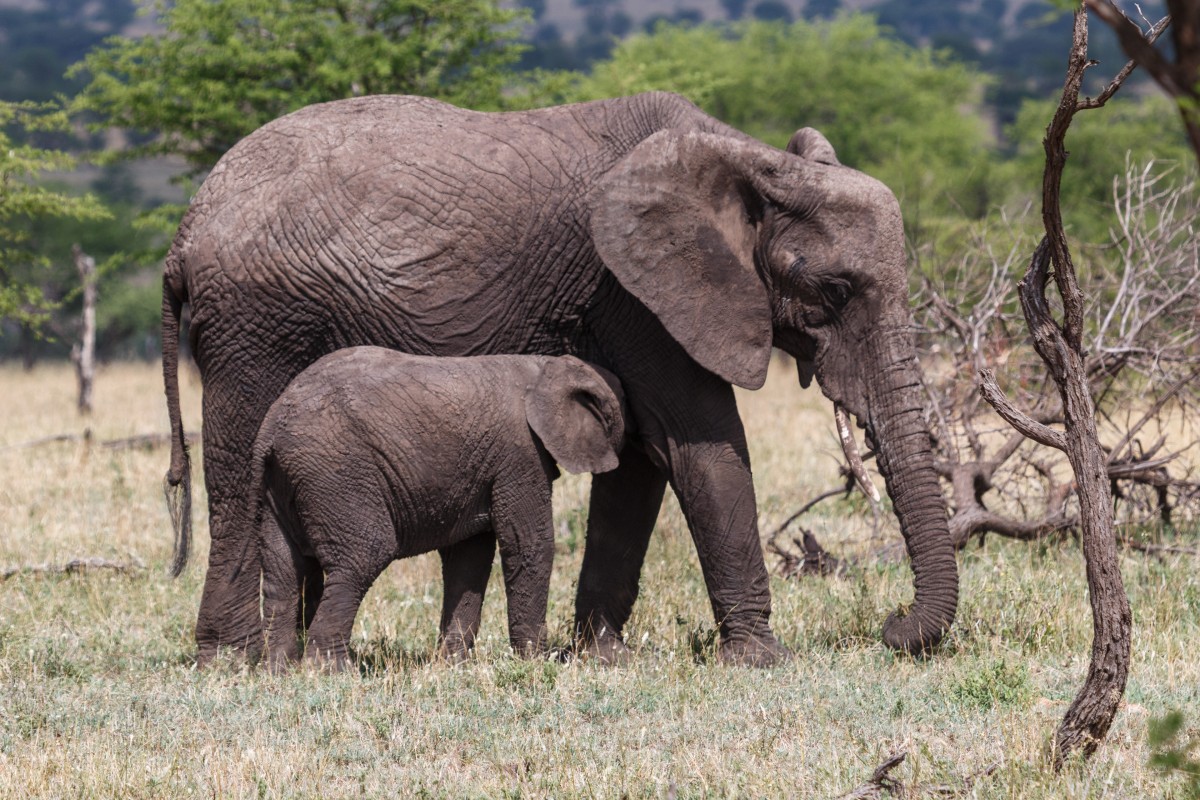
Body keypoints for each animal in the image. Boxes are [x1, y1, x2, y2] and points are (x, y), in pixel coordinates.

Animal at [253, 347, 628, 671]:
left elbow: (468, 558)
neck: (546, 365)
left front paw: (453, 665)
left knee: (282, 569)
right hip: (336, 473)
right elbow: (528, 545)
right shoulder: (521, 454)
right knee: (363, 555)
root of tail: (270, 427)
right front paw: (535, 663)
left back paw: (279, 670)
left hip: (280, 484)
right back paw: (331, 672)